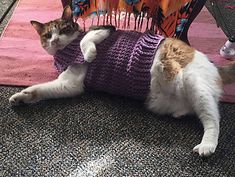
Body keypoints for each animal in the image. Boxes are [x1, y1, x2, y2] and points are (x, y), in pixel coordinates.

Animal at [8, 5, 235, 156]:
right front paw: (22, 96)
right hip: (166, 101)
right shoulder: (70, 84)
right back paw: (181, 113)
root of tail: (213, 65)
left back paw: (207, 146)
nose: (55, 40)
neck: (66, 52)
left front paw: (89, 53)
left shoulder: (106, 27)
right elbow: (40, 89)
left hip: (193, 83)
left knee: (213, 119)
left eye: (63, 30)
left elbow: (85, 39)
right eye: (48, 35)